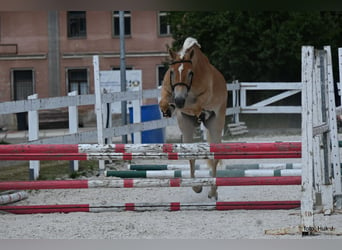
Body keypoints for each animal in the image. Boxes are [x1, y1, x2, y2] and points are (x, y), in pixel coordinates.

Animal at [160, 37, 227, 201]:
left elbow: (195, 106)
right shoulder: (169, 92)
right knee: (191, 153)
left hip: (217, 123)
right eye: (172, 72)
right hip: (186, 125)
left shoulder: (202, 99)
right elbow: (163, 101)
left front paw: (199, 112)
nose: (178, 100)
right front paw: (167, 109)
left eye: (190, 73)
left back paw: (213, 191)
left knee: (215, 157)